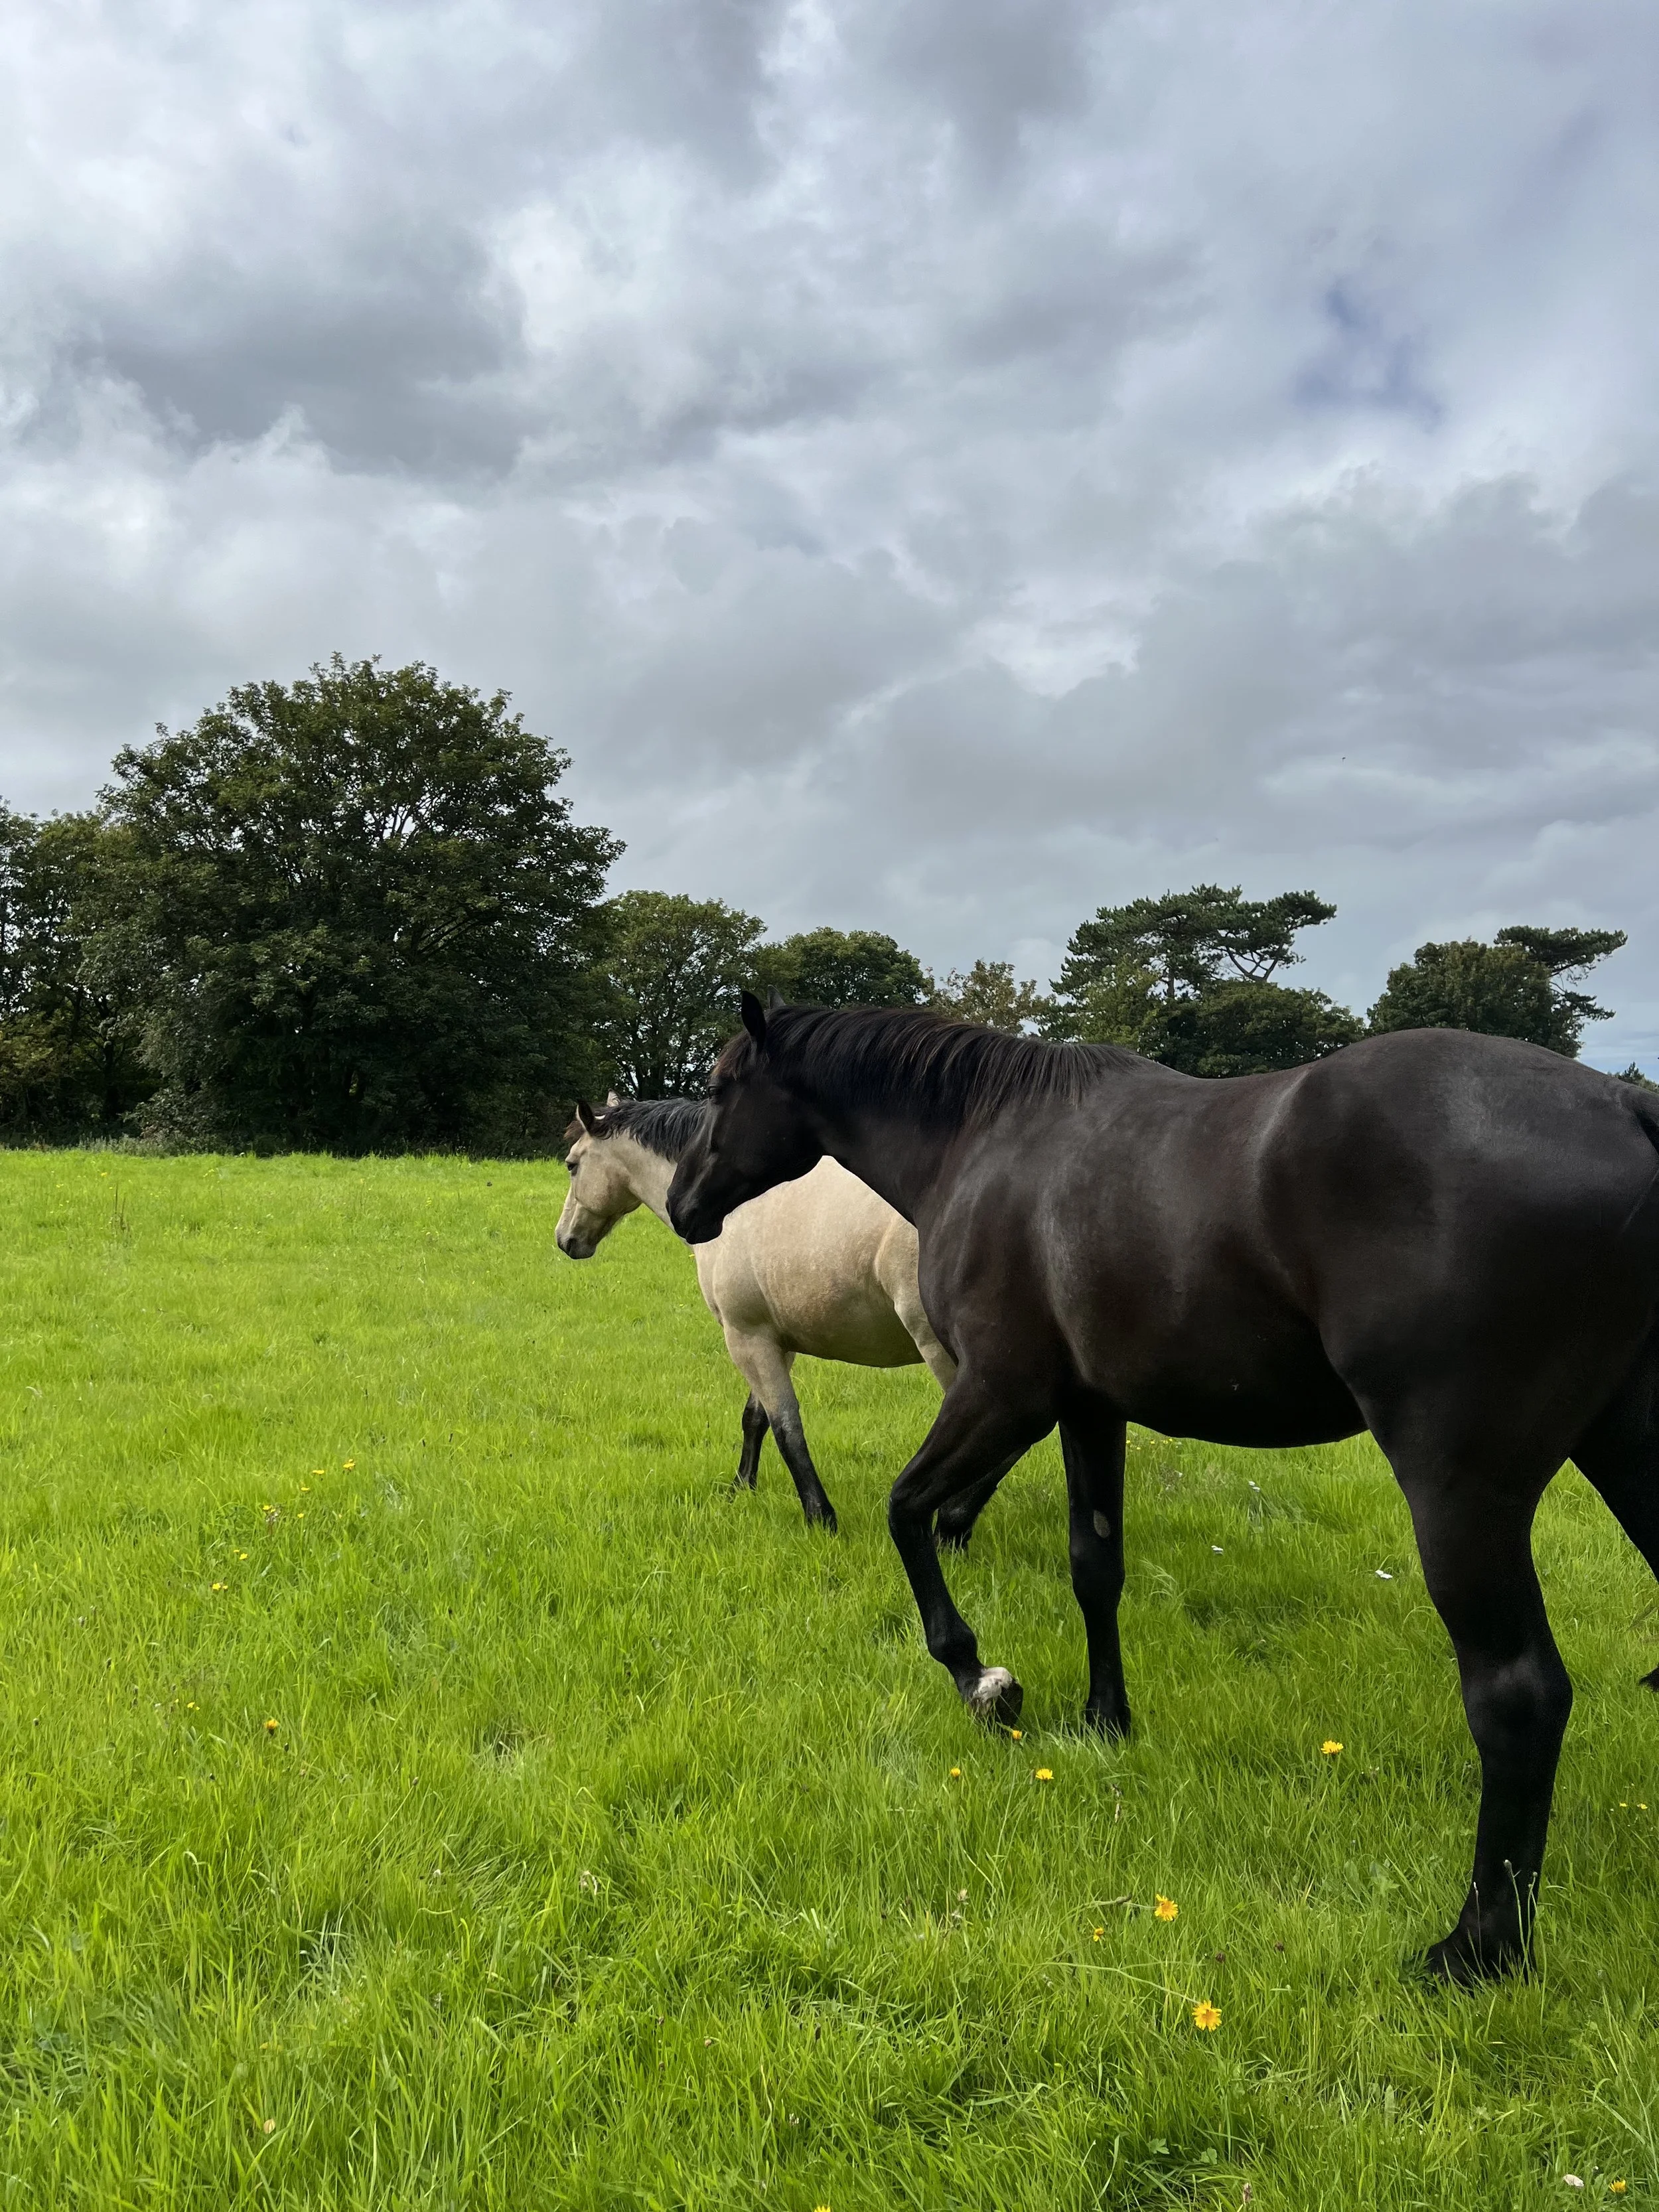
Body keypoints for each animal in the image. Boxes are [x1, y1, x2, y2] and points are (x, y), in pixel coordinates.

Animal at [556, 1096, 1005, 1540]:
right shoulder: (773, 1340)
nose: (565, 1240)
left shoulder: (746, 1338)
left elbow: (787, 1428)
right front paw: (742, 1488)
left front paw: (819, 1517)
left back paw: (951, 1525)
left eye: (571, 1164)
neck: (730, 1205)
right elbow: (756, 1419)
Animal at [665, 993, 1659, 1983]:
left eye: (719, 1087)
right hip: (1621, 1449)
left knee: (1518, 1697)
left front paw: (980, 1678)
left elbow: (907, 1512)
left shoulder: (1004, 1395)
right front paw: (1105, 1719)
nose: (680, 1206)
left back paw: (1478, 1948)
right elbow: (1094, 1564)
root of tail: (1621, 1104)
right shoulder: (1087, 1410)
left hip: (1459, 1493)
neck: (984, 1139)